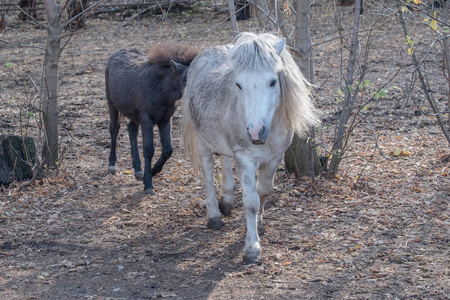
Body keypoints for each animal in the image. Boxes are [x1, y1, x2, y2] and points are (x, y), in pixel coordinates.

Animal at [105, 44, 199, 195]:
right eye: (186, 78)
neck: (162, 91)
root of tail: (116, 52)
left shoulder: (165, 120)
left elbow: (167, 150)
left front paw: (150, 173)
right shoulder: (147, 120)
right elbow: (149, 150)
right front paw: (148, 183)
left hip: (134, 115)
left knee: (131, 129)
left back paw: (138, 169)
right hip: (112, 104)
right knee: (114, 129)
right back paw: (112, 165)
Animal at [181, 31, 318, 264]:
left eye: (273, 82)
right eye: (238, 84)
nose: (255, 132)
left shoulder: (274, 158)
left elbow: (264, 190)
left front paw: (259, 225)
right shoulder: (245, 159)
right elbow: (251, 201)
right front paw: (252, 247)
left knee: (225, 160)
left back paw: (227, 200)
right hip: (202, 142)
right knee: (208, 174)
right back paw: (214, 215)